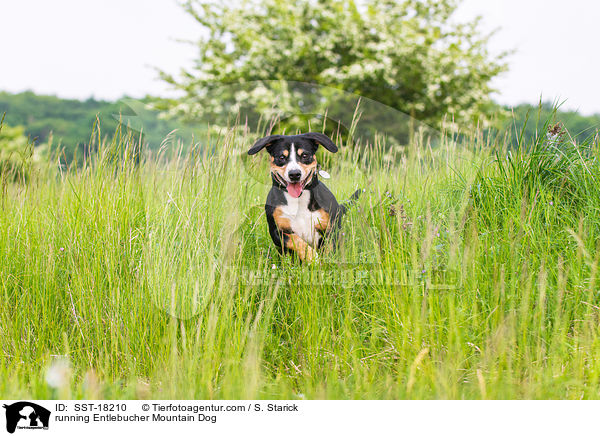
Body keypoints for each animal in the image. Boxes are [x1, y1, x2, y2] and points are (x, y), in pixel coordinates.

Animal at [250, 132, 360, 262]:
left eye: (304, 155)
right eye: (281, 157)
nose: (294, 174)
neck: (298, 200)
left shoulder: (330, 229)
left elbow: (328, 250)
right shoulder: (277, 232)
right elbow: (297, 241)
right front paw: (313, 258)